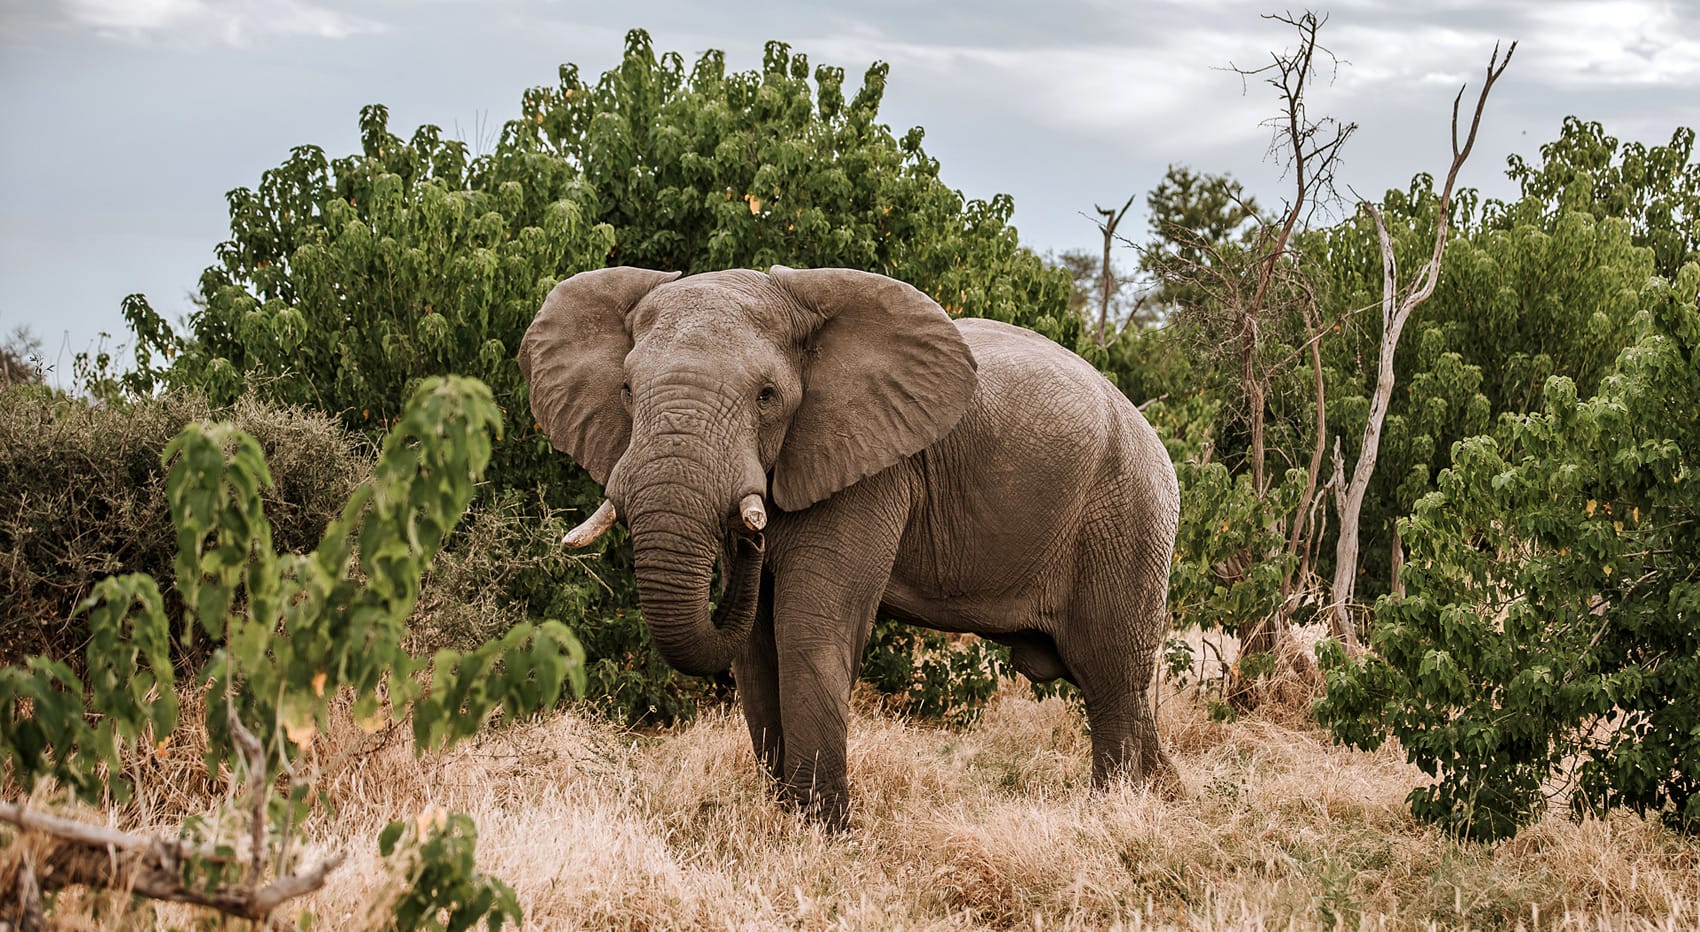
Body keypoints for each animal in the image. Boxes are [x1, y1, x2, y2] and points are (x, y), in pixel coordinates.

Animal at [518, 266, 1180, 827]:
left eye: (767, 396)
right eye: (628, 391)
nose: (751, 535)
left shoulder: (873, 468)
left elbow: (808, 629)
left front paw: (820, 834)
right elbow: (756, 646)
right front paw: (784, 817)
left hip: (1127, 515)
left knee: (1111, 675)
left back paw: (1116, 812)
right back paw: (1162, 795)